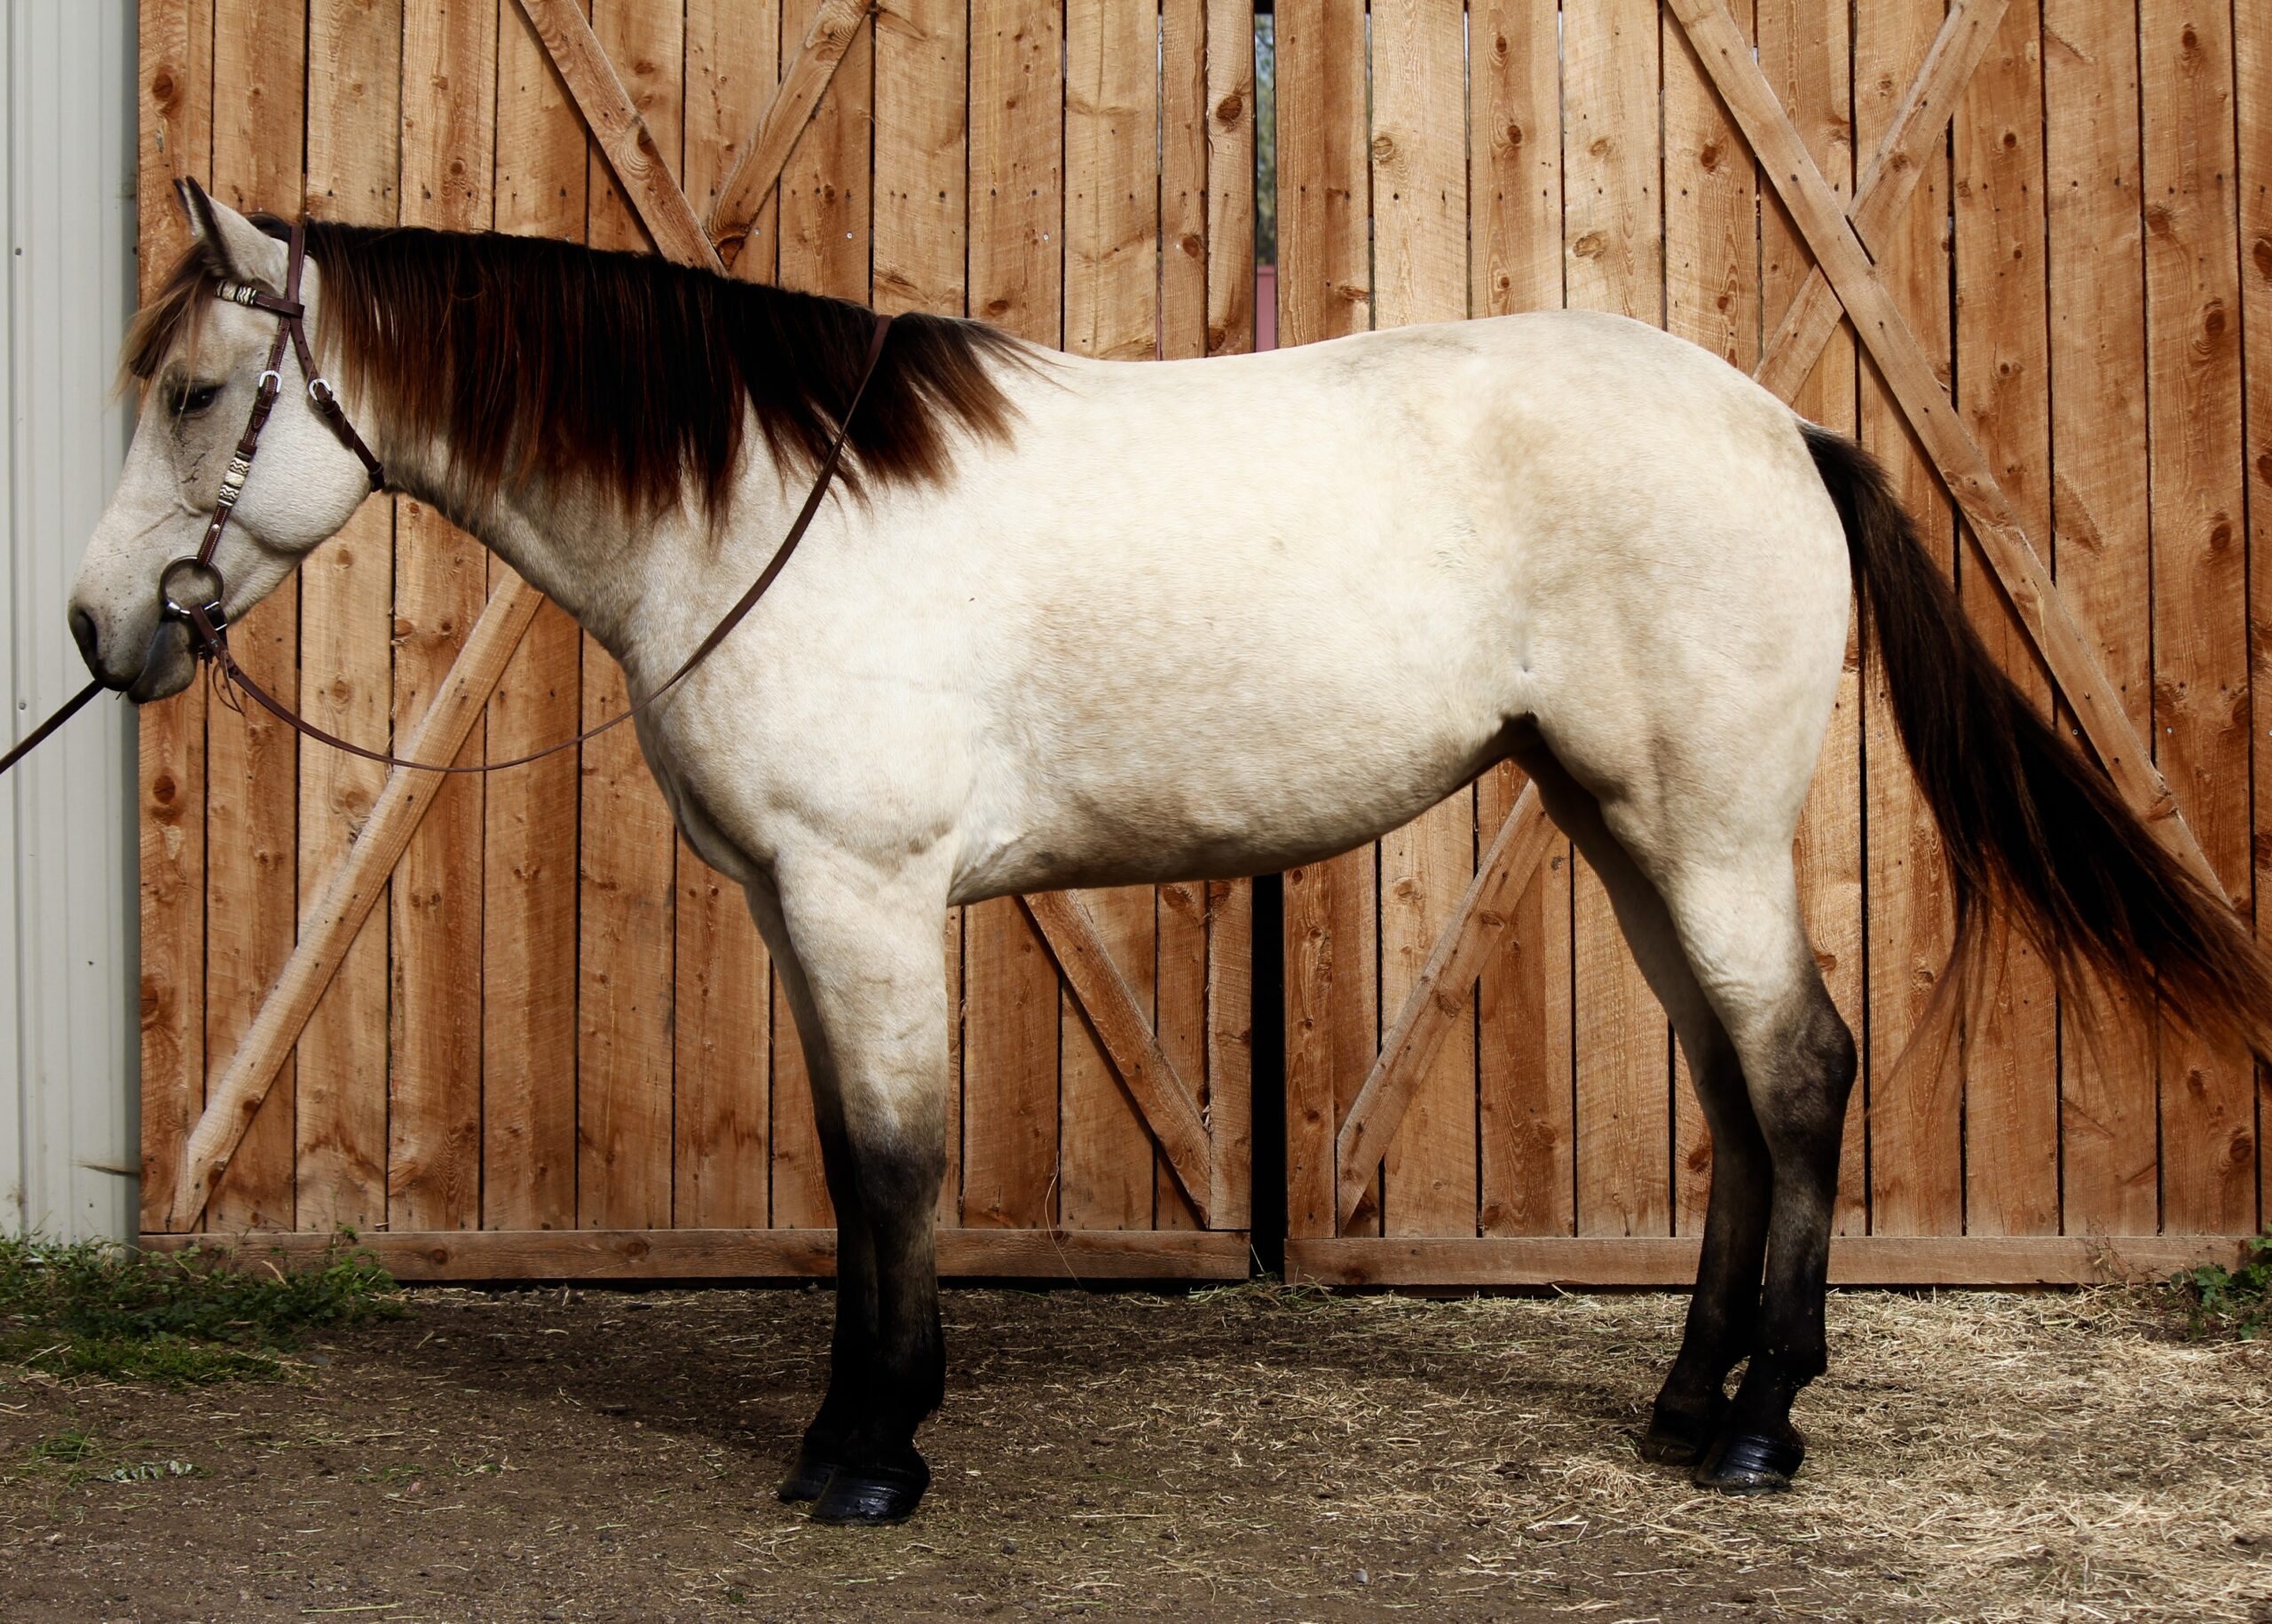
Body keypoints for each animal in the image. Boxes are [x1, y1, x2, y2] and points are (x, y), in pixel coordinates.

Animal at [71, 182, 2272, 1524]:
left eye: (196, 390)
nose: (100, 632)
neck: (760, 507)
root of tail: (1777, 427)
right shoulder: (802, 909)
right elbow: (856, 1166)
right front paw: (870, 1423)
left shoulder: (863, 895)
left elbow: (889, 1165)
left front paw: (866, 1454)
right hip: (1615, 823)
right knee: (1736, 1090)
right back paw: (1679, 1404)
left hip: (1699, 823)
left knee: (1796, 1071)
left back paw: (1755, 1426)